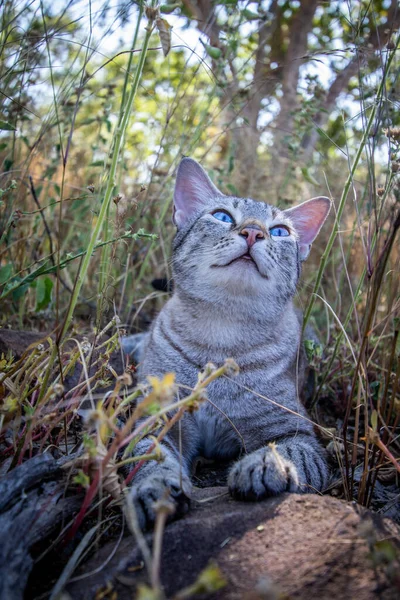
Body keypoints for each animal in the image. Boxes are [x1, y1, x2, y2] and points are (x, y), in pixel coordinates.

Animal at [128, 157, 332, 528]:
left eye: (280, 231)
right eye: (222, 216)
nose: (253, 232)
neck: (222, 335)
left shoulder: (296, 431)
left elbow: (287, 450)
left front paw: (264, 466)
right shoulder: (159, 420)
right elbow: (148, 457)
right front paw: (156, 488)